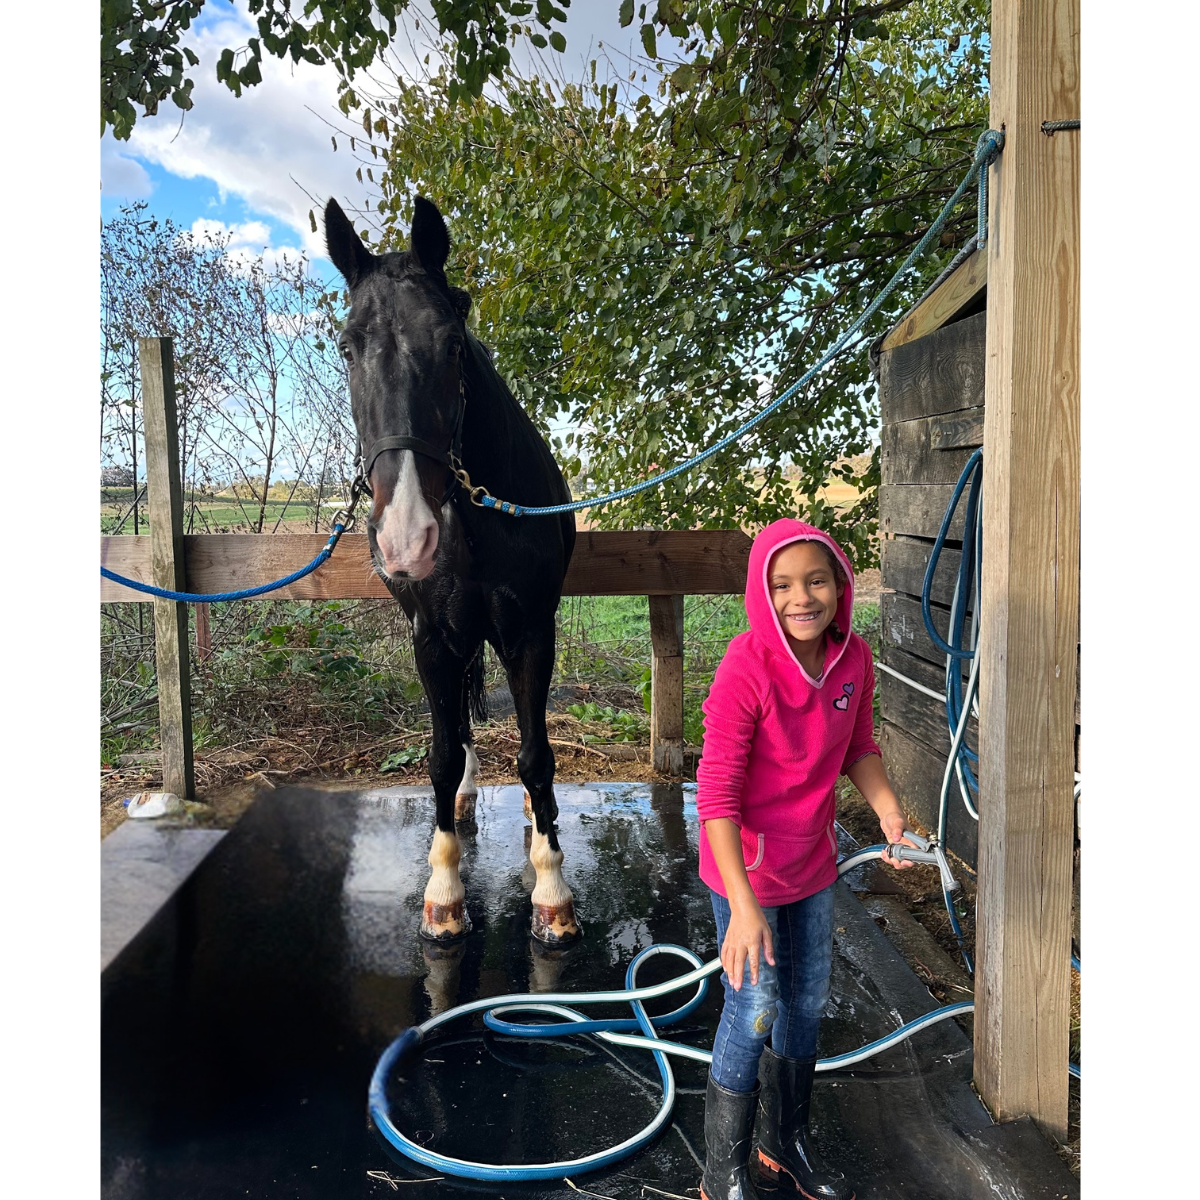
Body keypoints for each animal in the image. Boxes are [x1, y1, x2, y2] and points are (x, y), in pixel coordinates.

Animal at [323, 194, 579, 946]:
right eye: (347, 346)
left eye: (452, 341)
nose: (408, 536)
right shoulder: (433, 639)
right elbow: (439, 755)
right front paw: (444, 892)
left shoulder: (530, 633)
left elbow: (536, 753)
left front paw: (551, 890)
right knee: (460, 728)